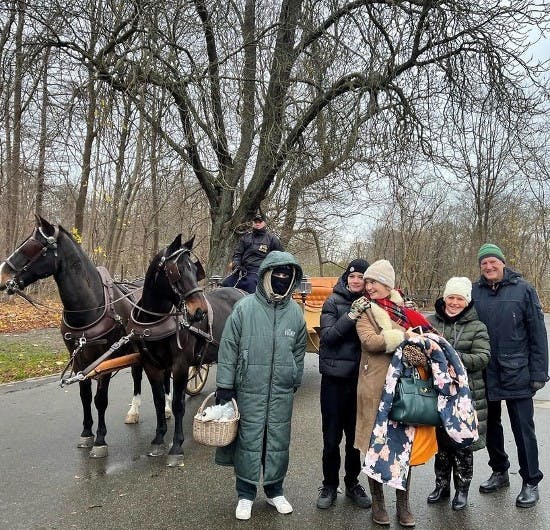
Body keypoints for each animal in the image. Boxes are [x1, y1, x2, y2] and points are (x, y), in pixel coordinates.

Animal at [0, 214, 168, 454]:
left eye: (33, 247)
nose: (2, 274)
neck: (91, 306)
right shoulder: (79, 359)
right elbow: (85, 396)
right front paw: (87, 433)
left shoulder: (105, 360)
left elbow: (100, 400)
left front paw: (100, 440)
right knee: (137, 375)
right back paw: (134, 411)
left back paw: (168, 408)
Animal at [130, 233, 245, 464]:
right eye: (177, 270)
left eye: (194, 269)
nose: (199, 311)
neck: (155, 322)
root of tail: (242, 292)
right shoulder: (151, 366)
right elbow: (158, 402)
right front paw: (158, 439)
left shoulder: (180, 366)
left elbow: (178, 404)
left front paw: (176, 446)